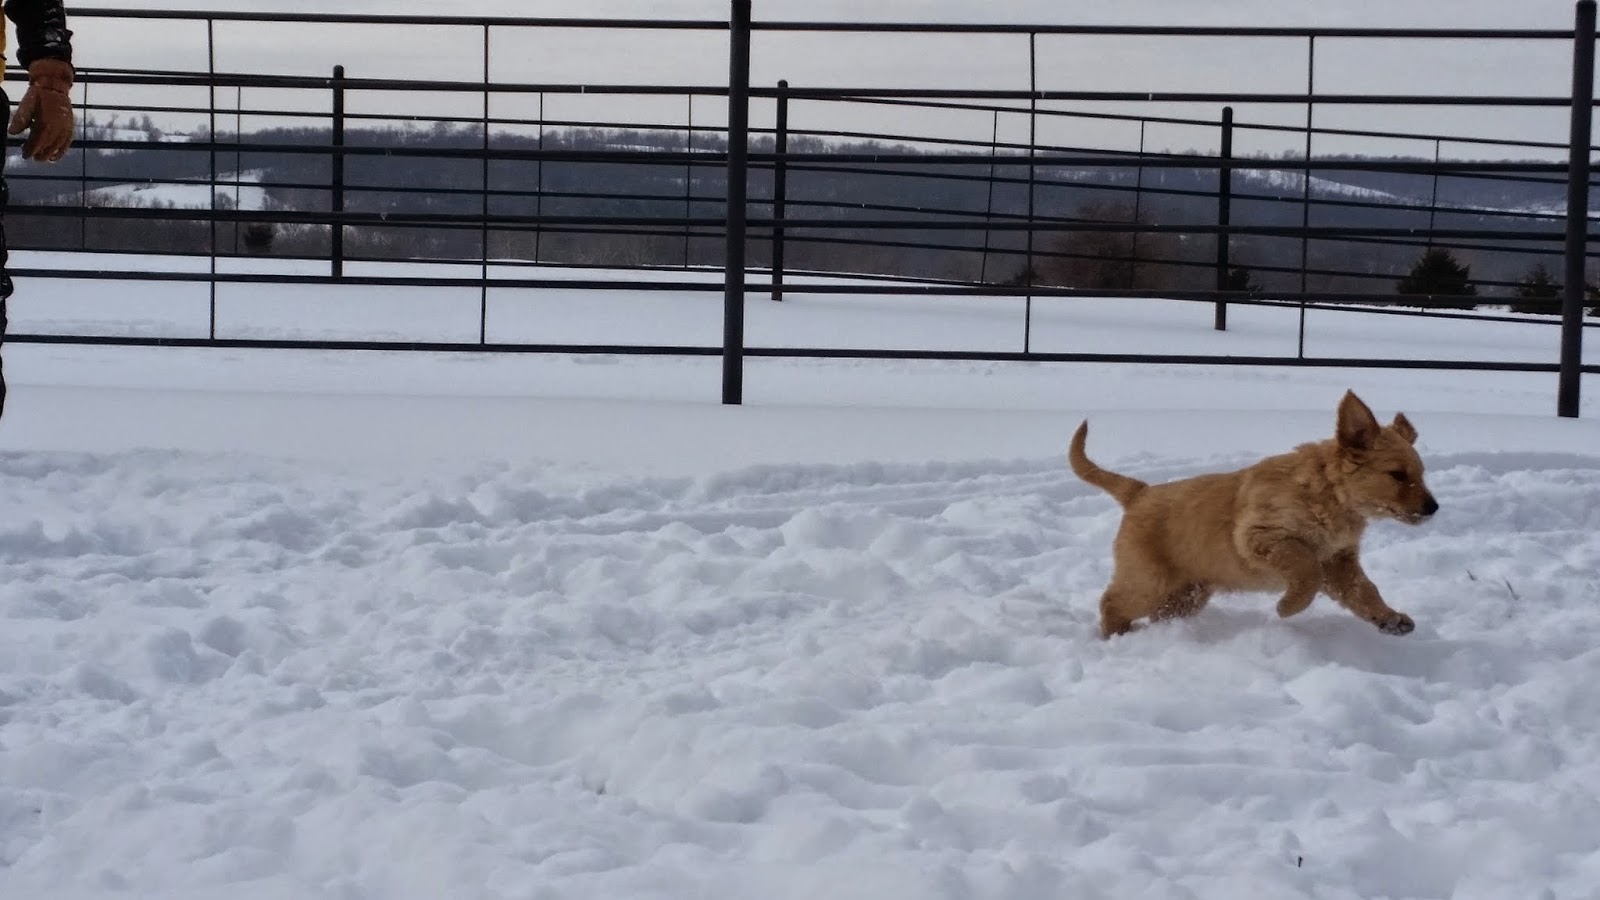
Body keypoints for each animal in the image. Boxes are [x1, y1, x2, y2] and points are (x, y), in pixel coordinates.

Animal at [1069, 390, 1438, 639]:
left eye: (1420, 474)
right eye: (1398, 475)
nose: (1433, 508)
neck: (1331, 495)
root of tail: (1140, 492)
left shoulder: (1339, 561)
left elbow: (1364, 591)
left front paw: (1388, 617)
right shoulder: (1262, 536)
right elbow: (1306, 569)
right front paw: (1288, 607)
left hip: (1187, 593)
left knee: (1159, 614)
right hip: (1149, 580)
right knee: (1112, 601)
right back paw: (1114, 635)